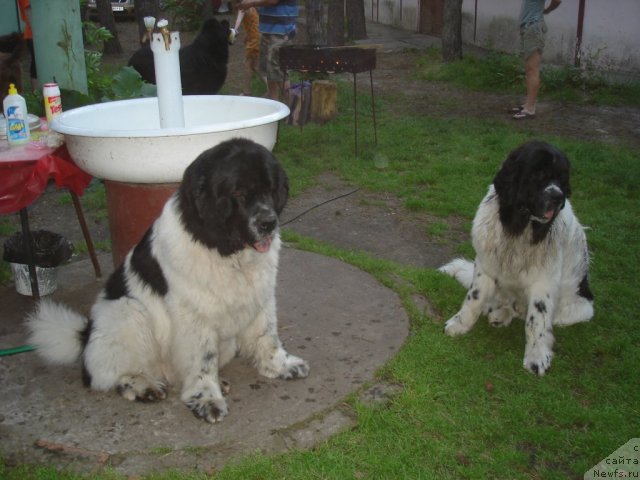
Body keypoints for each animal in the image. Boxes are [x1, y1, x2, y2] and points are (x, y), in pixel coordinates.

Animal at [27, 137, 310, 422]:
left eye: (270, 190)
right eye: (239, 194)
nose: (268, 223)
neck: (226, 250)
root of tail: (85, 336)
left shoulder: (260, 295)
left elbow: (267, 335)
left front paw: (281, 365)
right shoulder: (194, 316)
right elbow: (202, 359)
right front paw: (206, 397)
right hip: (128, 311)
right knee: (107, 375)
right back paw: (143, 385)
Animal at [440, 141, 596, 376]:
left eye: (562, 179)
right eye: (538, 174)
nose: (558, 197)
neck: (518, 228)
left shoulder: (544, 282)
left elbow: (536, 321)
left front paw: (536, 356)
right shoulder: (486, 265)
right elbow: (474, 298)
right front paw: (461, 324)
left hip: (577, 308)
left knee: (527, 314)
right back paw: (496, 312)